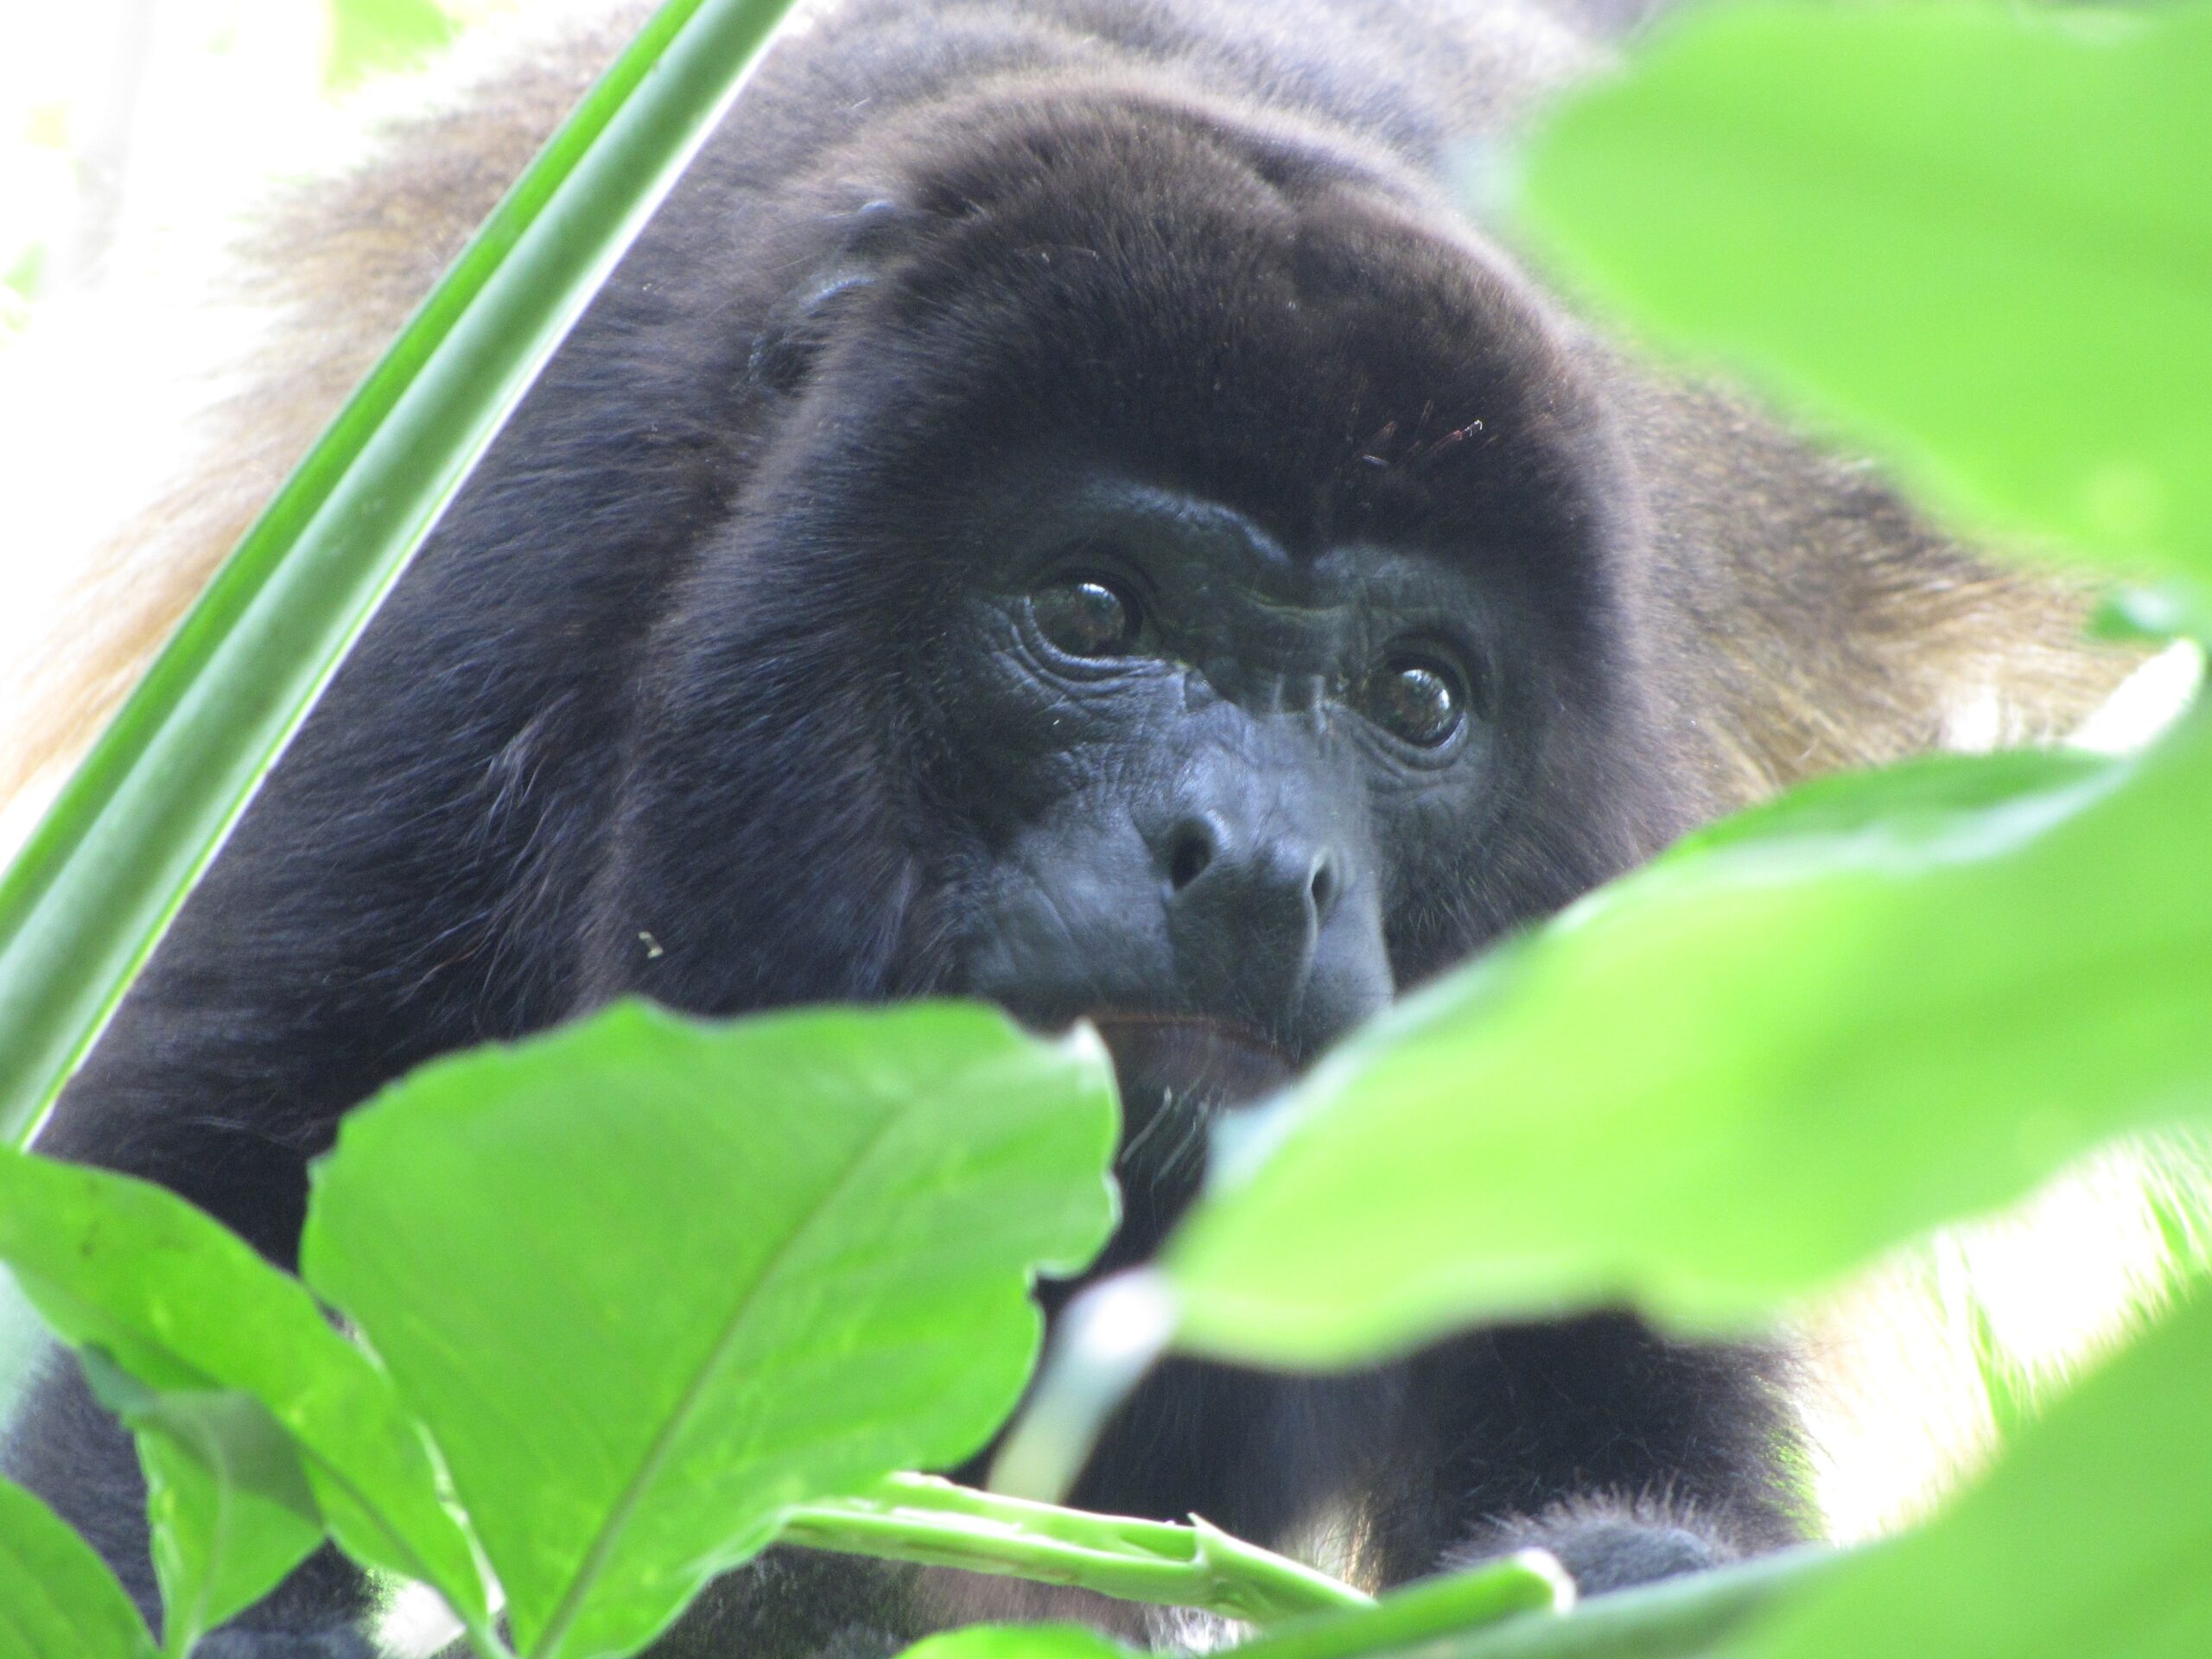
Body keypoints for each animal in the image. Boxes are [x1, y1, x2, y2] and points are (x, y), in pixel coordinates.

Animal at [0, 1, 2136, 1655]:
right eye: (1094, 612)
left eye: (1416, 698)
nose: (1258, 864)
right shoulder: (506, 589)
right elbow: (193, 1243)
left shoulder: (1606, 844)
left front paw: (1612, 1577)